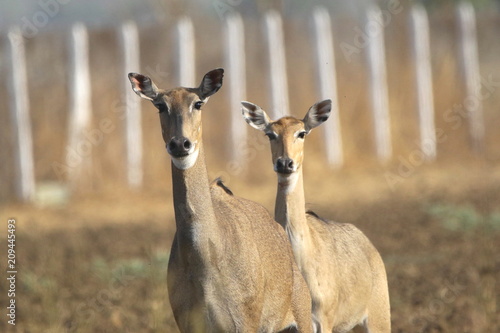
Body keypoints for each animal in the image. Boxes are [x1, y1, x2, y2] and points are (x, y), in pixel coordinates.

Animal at [128, 68, 312, 332]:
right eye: (160, 105)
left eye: (198, 103)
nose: (180, 143)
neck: (205, 258)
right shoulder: (188, 324)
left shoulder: (243, 322)